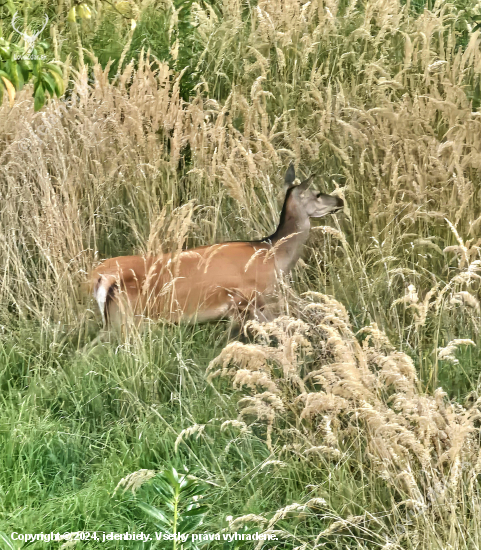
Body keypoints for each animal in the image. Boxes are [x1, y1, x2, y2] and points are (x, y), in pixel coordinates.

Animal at [89, 163, 342, 344]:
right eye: (317, 193)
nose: (339, 200)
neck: (271, 255)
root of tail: (101, 277)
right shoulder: (250, 301)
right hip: (126, 318)